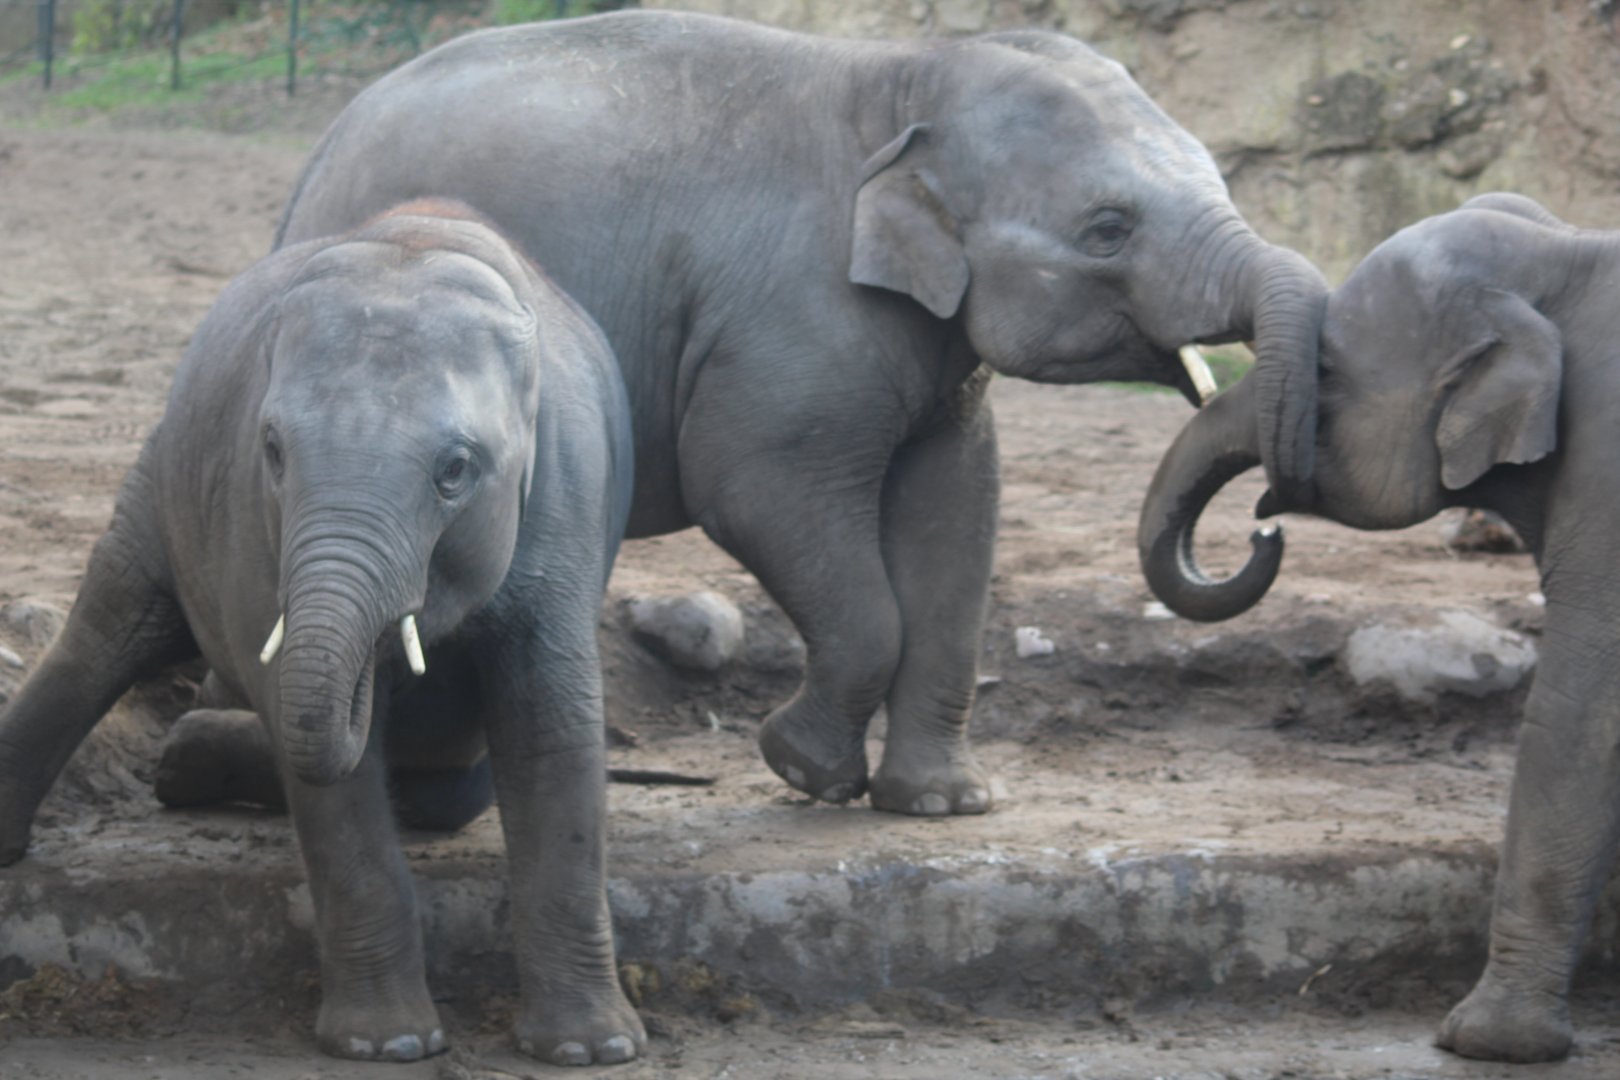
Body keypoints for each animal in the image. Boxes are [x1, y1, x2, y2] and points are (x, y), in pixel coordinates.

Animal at [0, 201, 645, 1066]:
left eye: (455, 470)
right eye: (274, 450)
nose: (387, 673)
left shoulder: (568, 495)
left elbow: (552, 729)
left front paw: (590, 1052)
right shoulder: (251, 513)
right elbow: (321, 765)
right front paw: (388, 1045)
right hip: (161, 469)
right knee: (109, 629)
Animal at [271, 9, 1328, 817]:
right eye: (1108, 228)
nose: (1263, 526)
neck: (907, 77)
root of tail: (315, 159)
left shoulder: (933, 351)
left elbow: (956, 513)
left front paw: (941, 804)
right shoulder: (791, 329)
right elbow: (755, 492)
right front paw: (803, 770)